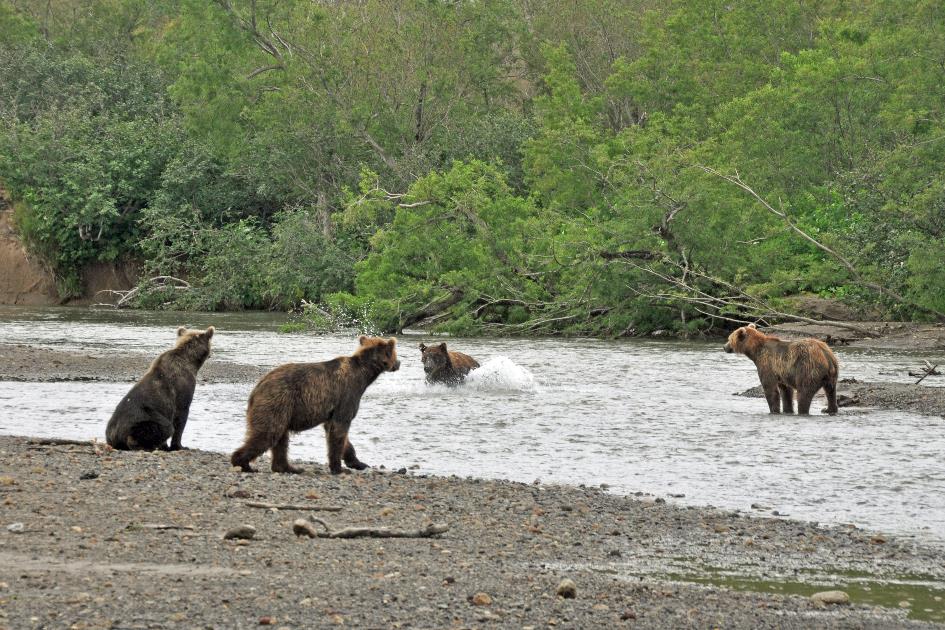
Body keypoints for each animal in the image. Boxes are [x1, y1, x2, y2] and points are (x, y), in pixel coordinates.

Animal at [236, 336, 402, 474]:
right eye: (394, 352)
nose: (399, 363)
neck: (365, 374)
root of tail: (257, 387)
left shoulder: (333, 410)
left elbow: (337, 433)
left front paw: (358, 463)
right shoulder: (347, 395)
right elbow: (339, 430)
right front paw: (338, 468)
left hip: (282, 409)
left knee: (281, 439)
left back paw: (289, 468)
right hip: (278, 402)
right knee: (268, 433)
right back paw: (244, 464)